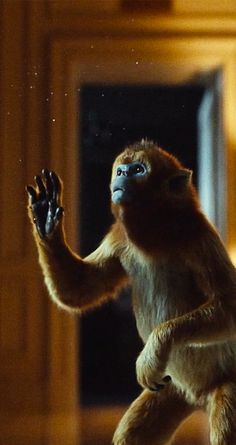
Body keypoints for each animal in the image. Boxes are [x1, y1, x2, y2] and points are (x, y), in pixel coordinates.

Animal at [26, 140, 236, 444]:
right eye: (122, 169)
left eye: (138, 170)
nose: (123, 174)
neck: (158, 231)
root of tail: (199, 396)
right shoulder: (119, 238)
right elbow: (78, 290)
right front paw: (46, 221)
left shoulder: (197, 235)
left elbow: (229, 306)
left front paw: (157, 346)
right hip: (172, 389)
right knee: (133, 433)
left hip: (226, 380)